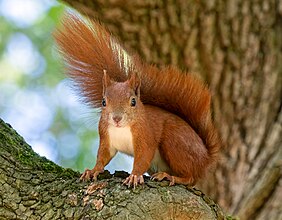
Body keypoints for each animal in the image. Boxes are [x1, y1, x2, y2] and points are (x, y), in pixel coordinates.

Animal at [53, 12, 220, 187]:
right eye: (103, 102)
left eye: (133, 101)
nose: (116, 118)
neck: (122, 129)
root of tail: (205, 159)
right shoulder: (106, 137)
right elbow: (103, 156)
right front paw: (93, 170)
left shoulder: (145, 135)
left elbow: (143, 157)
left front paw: (134, 175)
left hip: (175, 143)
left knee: (191, 178)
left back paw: (170, 177)